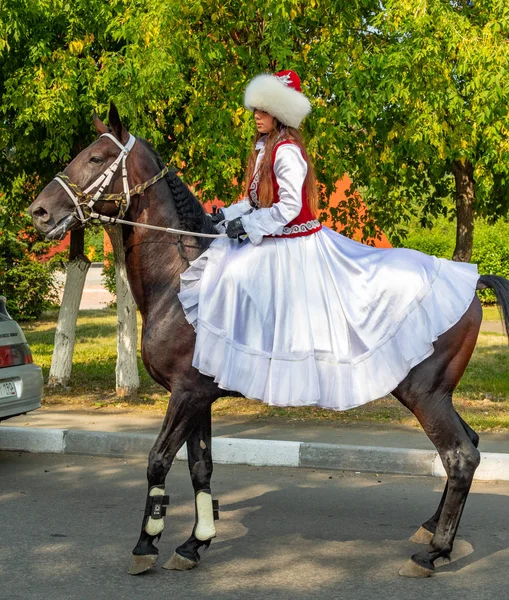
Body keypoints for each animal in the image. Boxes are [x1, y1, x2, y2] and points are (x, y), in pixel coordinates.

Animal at [28, 105, 508, 580]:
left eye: (96, 157)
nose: (38, 213)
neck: (181, 275)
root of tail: (471, 281)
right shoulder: (199, 395)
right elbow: (200, 466)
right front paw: (194, 543)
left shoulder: (185, 394)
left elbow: (158, 460)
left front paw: (147, 544)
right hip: (435, 394)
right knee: (469, 444)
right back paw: (431, 530)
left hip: (424, 394)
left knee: (460, 456)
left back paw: (434, 552)